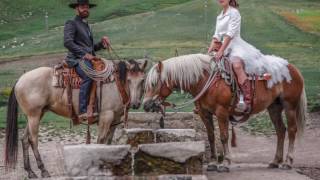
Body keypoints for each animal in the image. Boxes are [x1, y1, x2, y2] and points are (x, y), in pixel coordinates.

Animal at [5, 58, 148, 178]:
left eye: (142, 80)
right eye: (129, 80)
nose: (135, 104)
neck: (115, 84)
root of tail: (20, 79)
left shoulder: (115, 120)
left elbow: (108, 143)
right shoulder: (106, 117)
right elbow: (101, 141)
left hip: (35, 115)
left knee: (24, 140)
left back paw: (30, 172)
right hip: (34, 115)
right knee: (33, 140)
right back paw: (43, 170)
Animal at [144, 53, 306, 172]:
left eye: (154, 83)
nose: (146, 105)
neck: (205, 80)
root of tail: (292, 67)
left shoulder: (221, 112)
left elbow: (223, 136)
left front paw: (225, 163)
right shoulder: (204, 113)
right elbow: (210, 136)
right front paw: (212, 163)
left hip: (290, 106)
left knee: (292, 130)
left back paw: (288, 162)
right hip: (274, 107)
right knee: (281, 130)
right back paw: (275, 161)